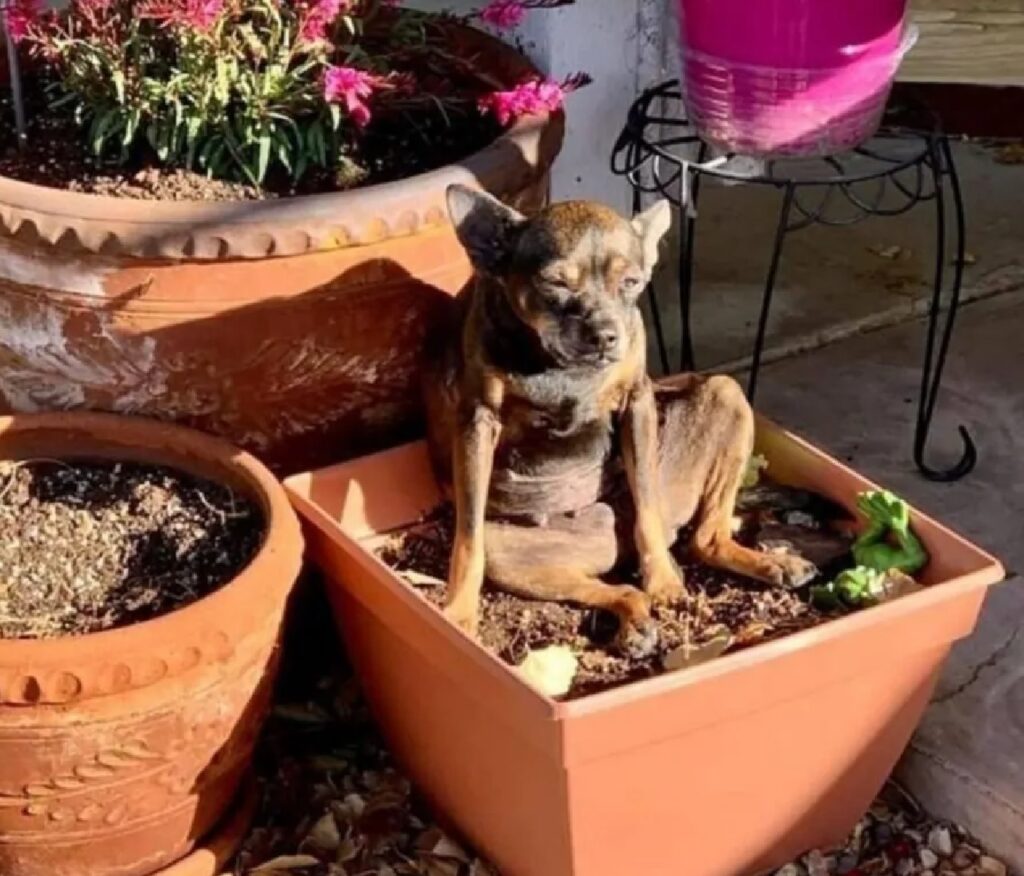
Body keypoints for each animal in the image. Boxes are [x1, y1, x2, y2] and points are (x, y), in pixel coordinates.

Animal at [423, 185, 815, 655]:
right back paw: (636, 626)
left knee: (702, 536)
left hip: (726, 395)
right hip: (514, 554)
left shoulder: (637, 403)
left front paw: (663, 582)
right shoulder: (477, 424)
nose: (607, 335)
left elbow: (646, 499)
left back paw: (760, 564)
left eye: (631, 283)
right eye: (555, 283)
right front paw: (459, 616)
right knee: (625, 586)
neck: (559, 368)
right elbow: (467, 540)